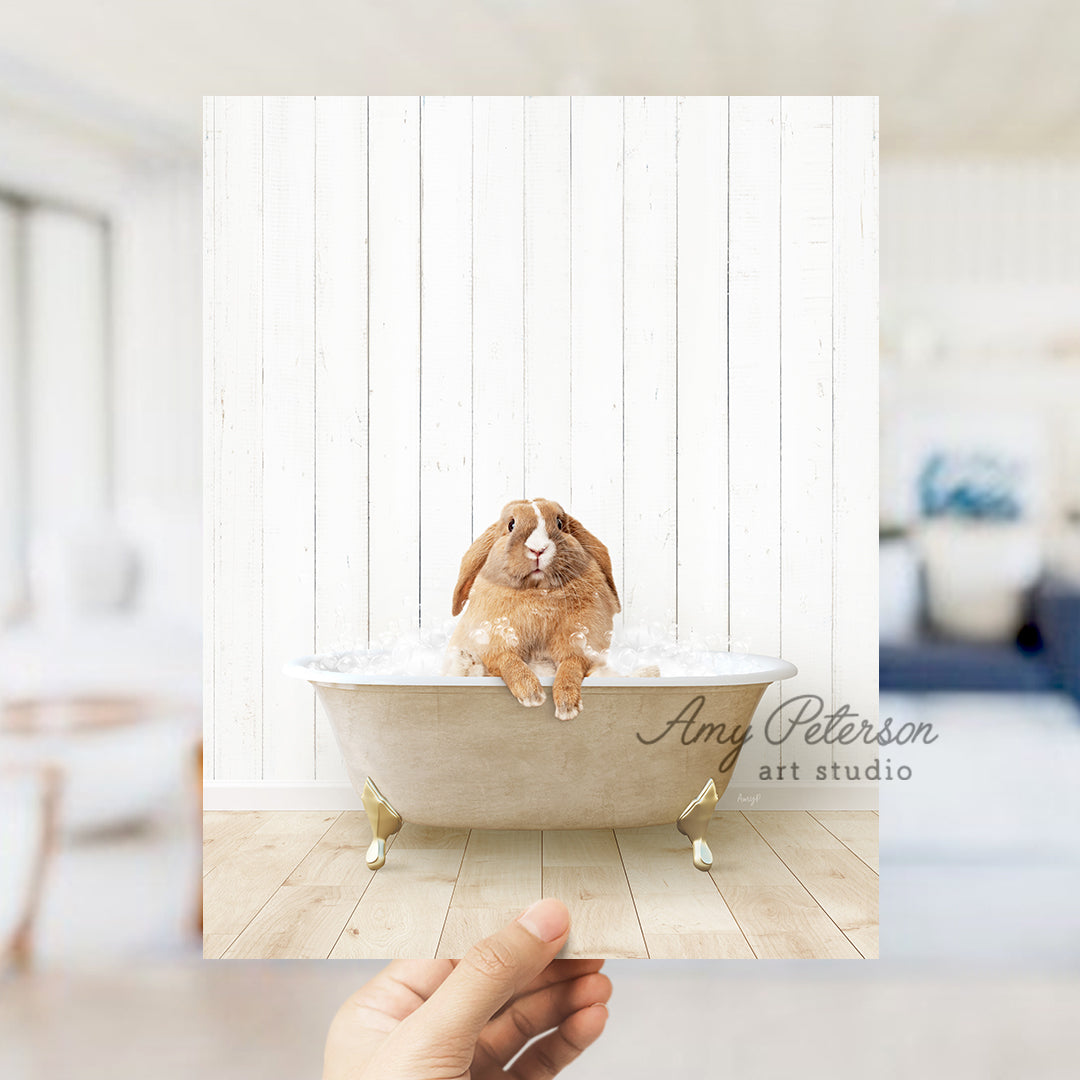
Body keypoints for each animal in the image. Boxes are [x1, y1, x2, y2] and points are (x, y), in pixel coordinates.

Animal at [444, 498, 617, 721]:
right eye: (511, 524)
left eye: (559, 523)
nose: (538, 549)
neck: (537, 591)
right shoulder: (495, 644)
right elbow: (509, 661)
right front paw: (532, 694)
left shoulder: (581, 645)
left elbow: (571, 666)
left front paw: (567, 706)